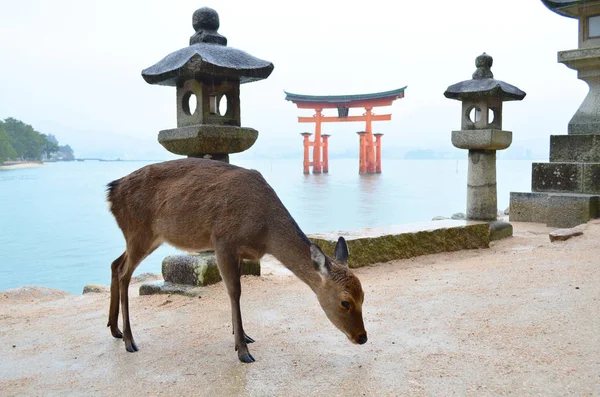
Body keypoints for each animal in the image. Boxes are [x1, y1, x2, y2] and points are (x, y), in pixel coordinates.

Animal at [106, 156, 368, 360]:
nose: (362, 337)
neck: (265, 233)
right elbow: (234, 291)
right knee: (125, 273)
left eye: (364, 296)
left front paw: (243, 337)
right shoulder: (223, 240)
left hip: (147, 237)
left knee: (115, 263)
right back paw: (129, 340)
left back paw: (114, 329)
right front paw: (242, 350)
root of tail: (111, 193)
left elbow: (236, 290)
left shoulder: (240, 251)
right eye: (345, 302)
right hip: (139, 232)